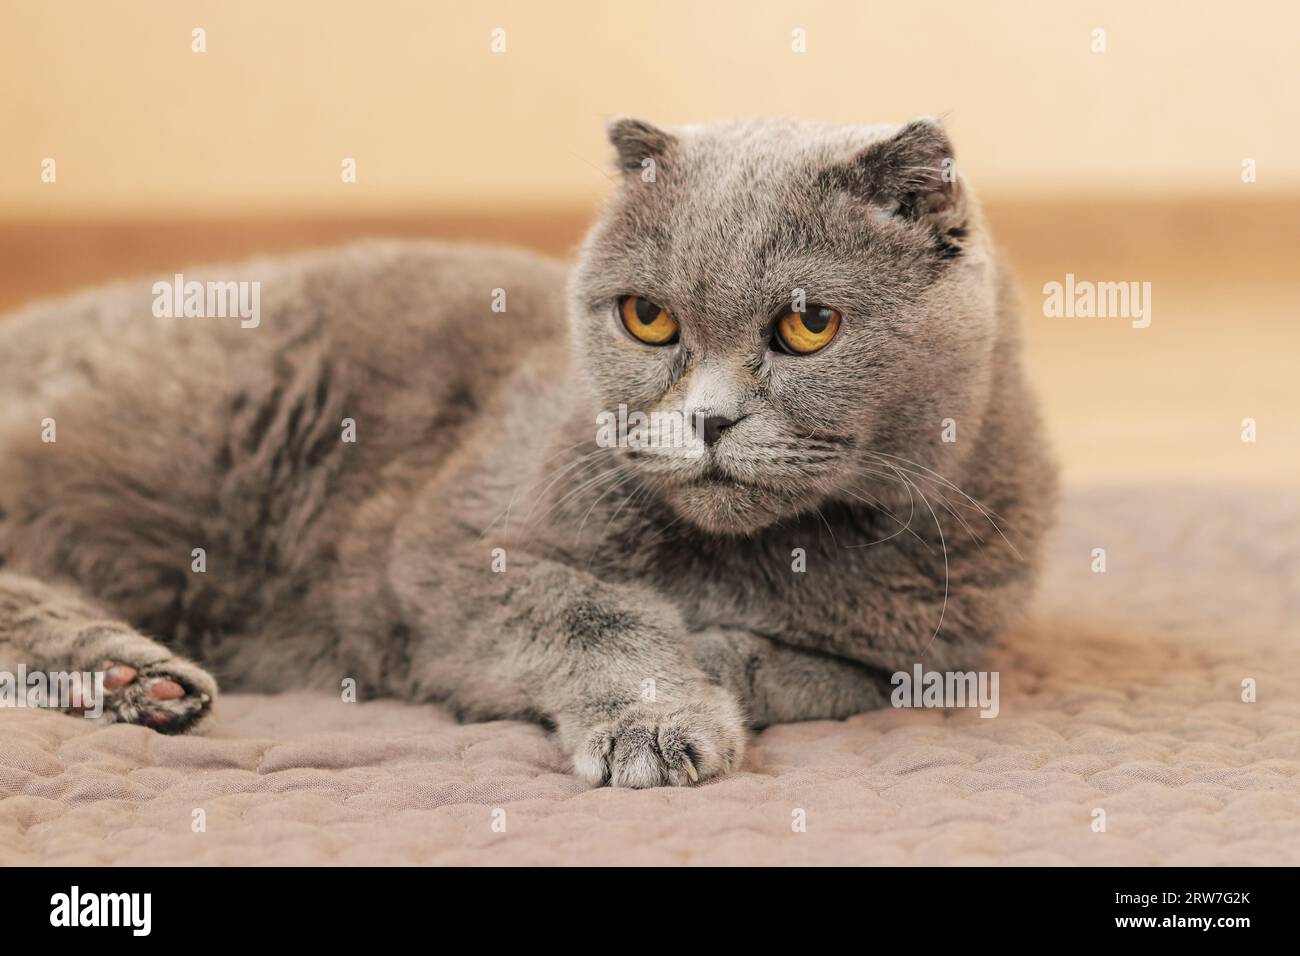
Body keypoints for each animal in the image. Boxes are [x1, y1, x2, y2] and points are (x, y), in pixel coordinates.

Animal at [0, 117, 1055, 785]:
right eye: (647, 317)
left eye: (809, 325)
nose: (708, 420)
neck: (767, 557)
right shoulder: (446, 553)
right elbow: (592, 611)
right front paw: (660, 718)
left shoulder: (946, 647)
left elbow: (851, 677)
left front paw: (720, 657)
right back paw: (140, 679)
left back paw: (132, 686)